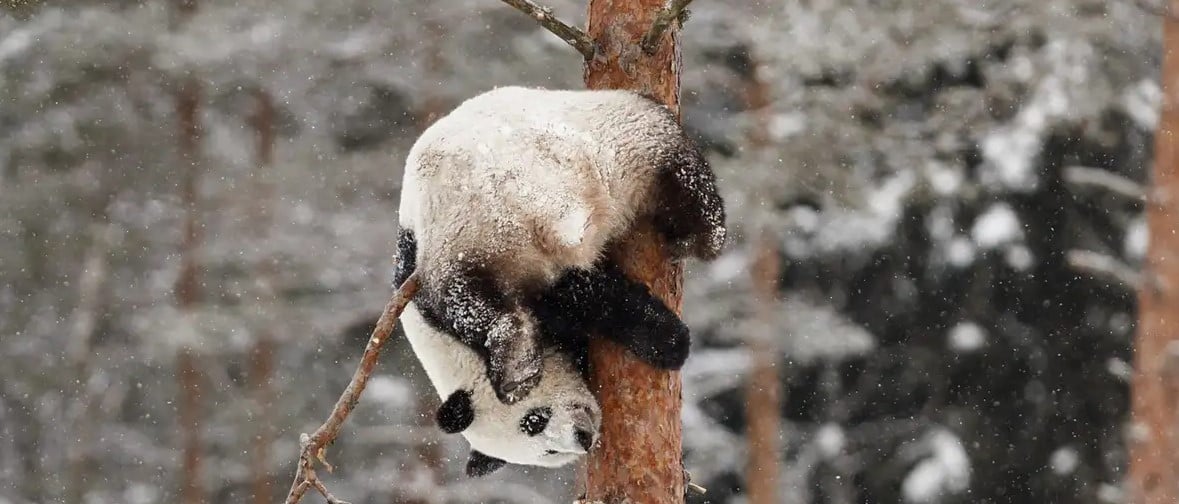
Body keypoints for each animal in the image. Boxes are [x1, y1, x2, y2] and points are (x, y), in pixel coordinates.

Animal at [396, 84, 721, 474]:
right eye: (548, 451)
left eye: (534, 420)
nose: (583, 439)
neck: (452, 356)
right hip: (611, 151)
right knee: (677, 177)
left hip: (460, 232)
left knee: (472, 298)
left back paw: (516, 369)